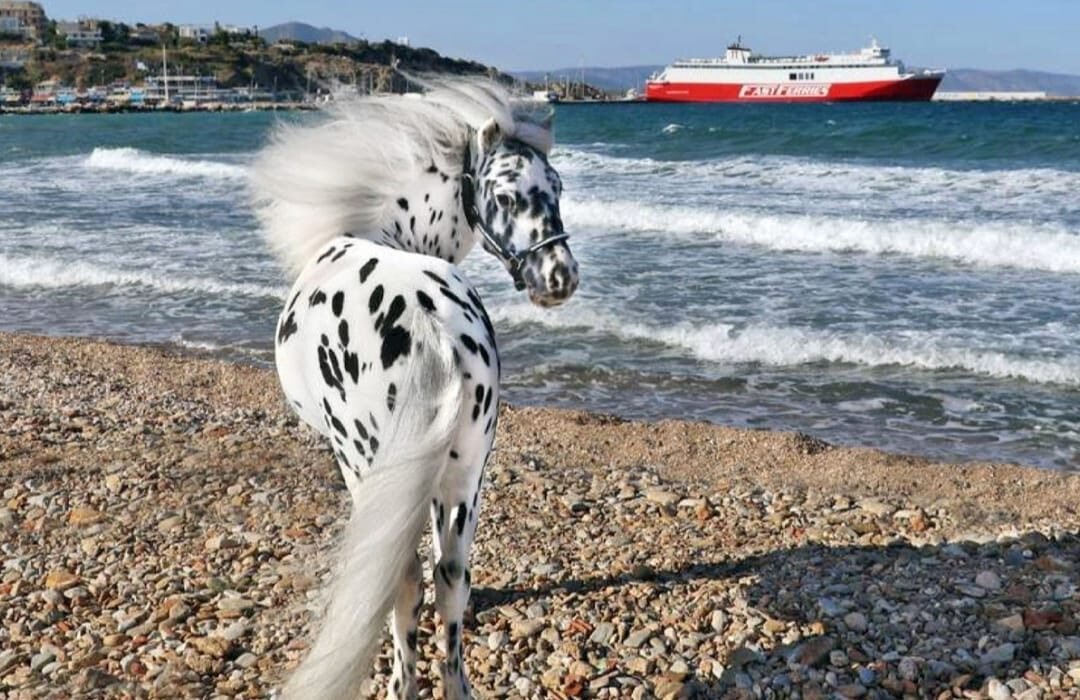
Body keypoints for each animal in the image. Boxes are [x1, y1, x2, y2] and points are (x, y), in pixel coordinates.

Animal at [248, 79, 578, 695]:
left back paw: (401, 683)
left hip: (367, 465)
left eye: (556, 189)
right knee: (450, 577)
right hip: (467, 470)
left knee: (403, 584)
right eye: (507, 196)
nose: (559, 279)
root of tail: (431, 327)